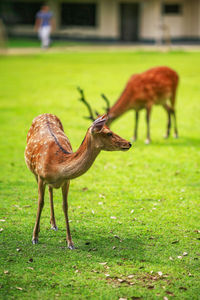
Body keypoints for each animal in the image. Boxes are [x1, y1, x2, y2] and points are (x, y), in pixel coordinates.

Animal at [24, 88, 131, 248]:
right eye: (109, 133)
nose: (129, 143)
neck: (57, 166)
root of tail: (45, 113)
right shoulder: (41, 177)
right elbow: (40, 202)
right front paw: (35, 237)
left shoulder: (67, 181)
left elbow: (65, 205)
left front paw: (70, 242)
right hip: (33, 172)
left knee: (50, 190)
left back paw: (54, 224)